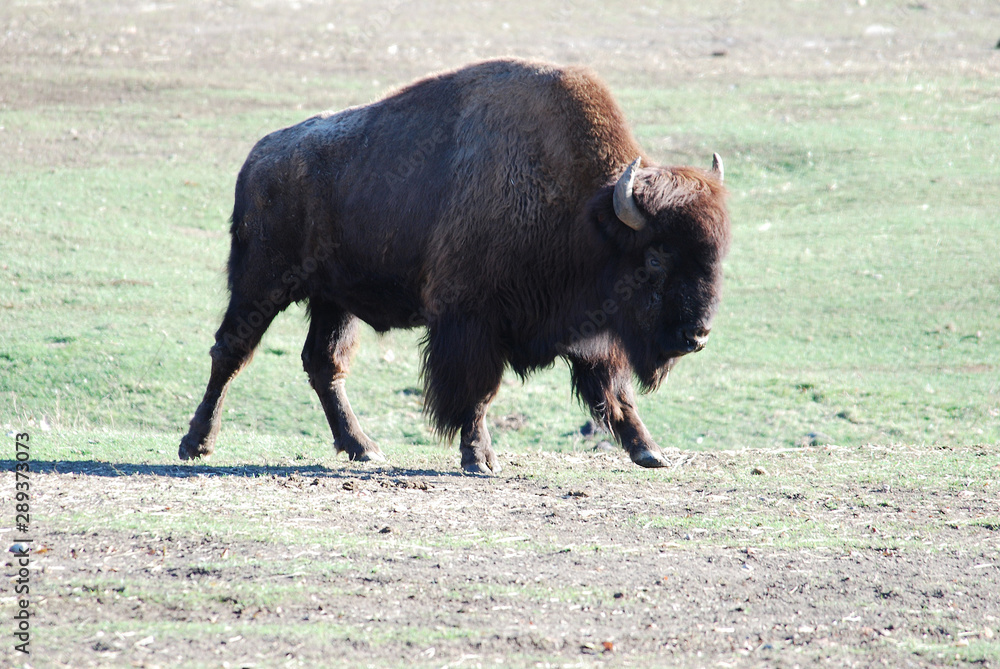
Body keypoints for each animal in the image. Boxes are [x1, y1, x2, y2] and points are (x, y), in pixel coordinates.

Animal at [178, 58, 728, 474]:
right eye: (655, 257)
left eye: (717, 257)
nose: (697, 336)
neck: (589, 212)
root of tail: (258, 158)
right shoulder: (472, 323)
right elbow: (478, 392)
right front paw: (479, 459)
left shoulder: (589, 332)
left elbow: (614, 391)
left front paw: (649, 451)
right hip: (261, 282)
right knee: (231, 350)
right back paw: (196, 444)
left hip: (334, 301)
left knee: (323, 363)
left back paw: (363, 448)